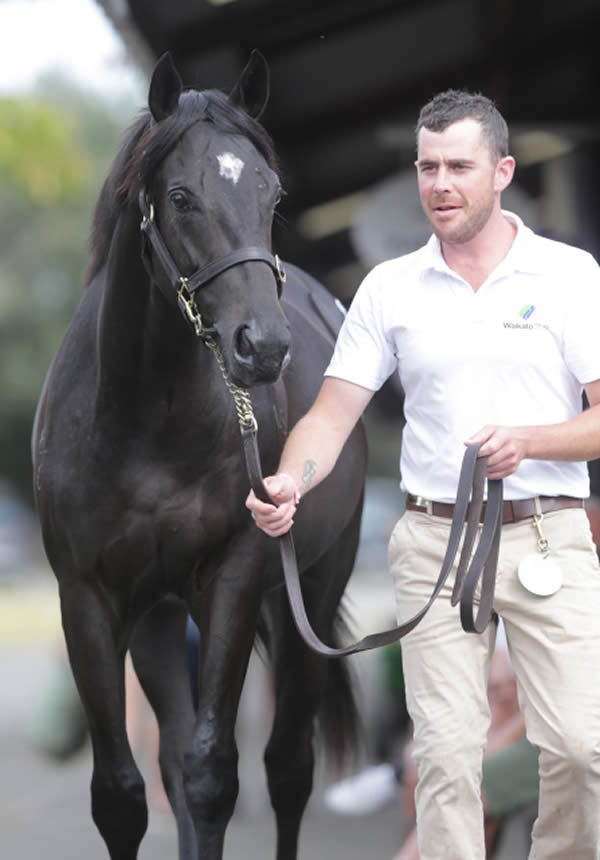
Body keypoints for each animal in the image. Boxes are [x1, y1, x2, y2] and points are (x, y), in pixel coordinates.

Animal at [31, 52, 366, 860]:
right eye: (180, 196)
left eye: (273, 194)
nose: (263, 347)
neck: (143, 421)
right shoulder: (88, 599)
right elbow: (123, 794)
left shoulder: (234, 581)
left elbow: (213, 774)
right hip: (159, 616)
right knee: (174, 768)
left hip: (311, 590)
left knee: (288, 767)